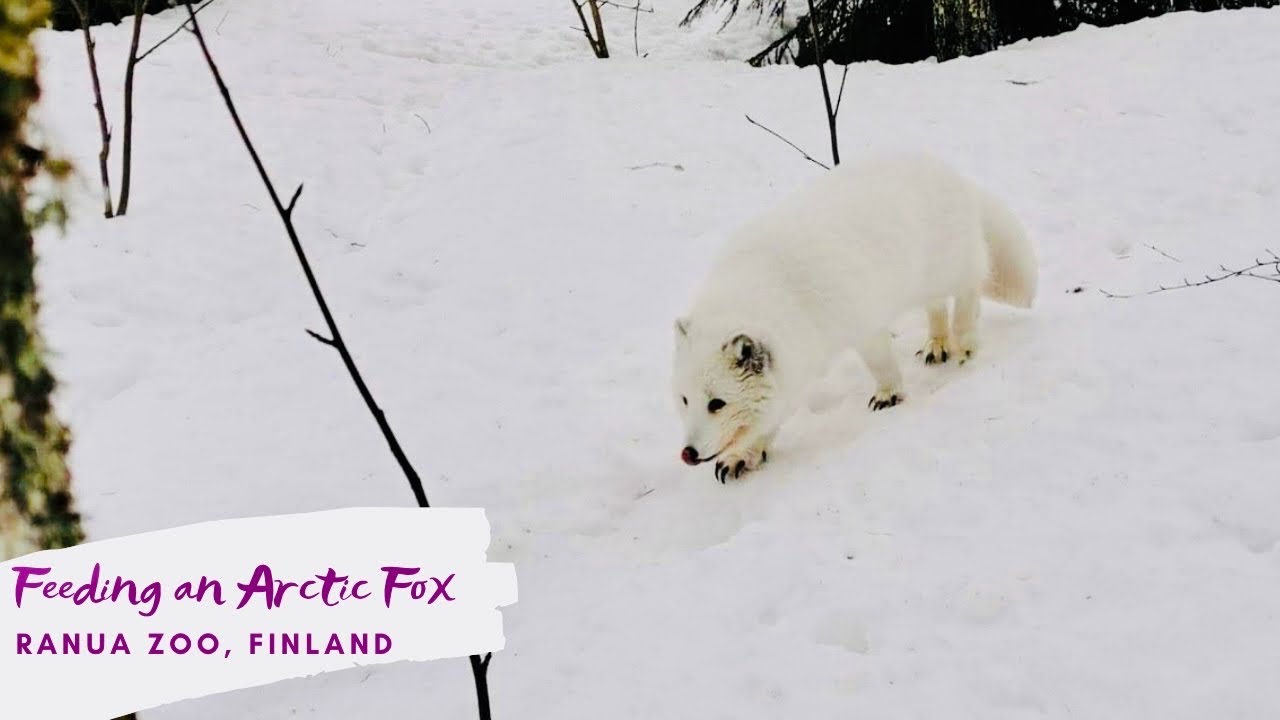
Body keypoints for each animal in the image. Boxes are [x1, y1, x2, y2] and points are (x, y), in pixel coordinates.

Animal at [671, 152, 1037, 483]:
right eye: (685, 399)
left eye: (717, 403)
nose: (688, 453)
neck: (774, 291)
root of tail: (949, 171)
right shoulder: (796, 360)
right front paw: (744, 455)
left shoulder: (863, 323)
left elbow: (881, 364)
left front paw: (889, 394)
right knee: (936, 308)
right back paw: (937, 345)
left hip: (952, 268)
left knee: (968, 291)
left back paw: (965, 342)